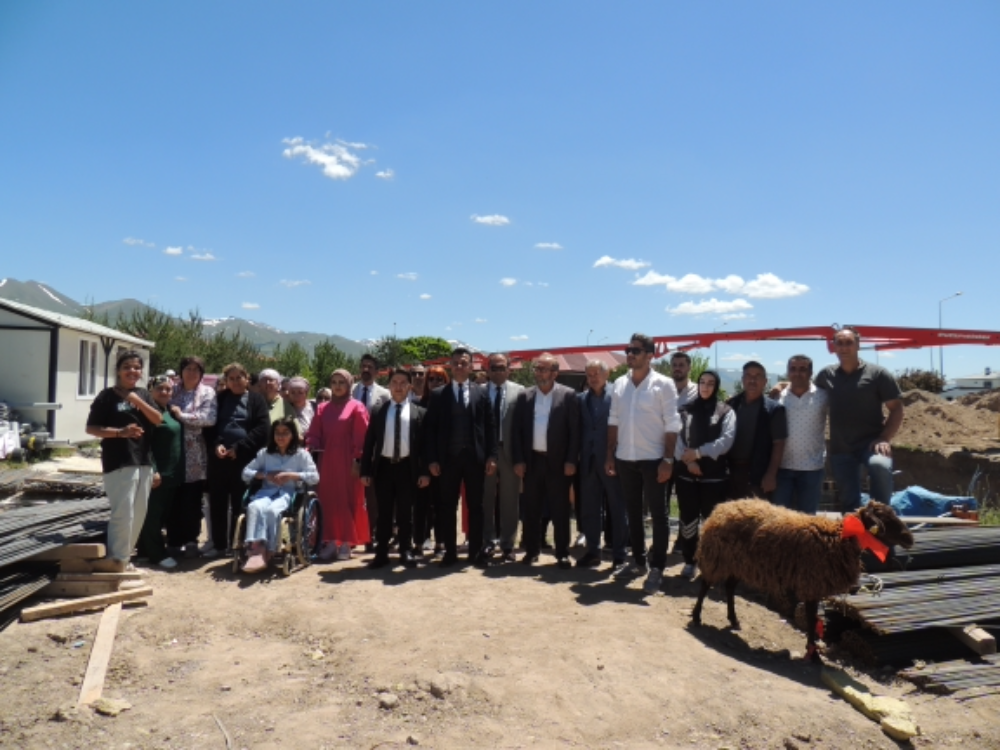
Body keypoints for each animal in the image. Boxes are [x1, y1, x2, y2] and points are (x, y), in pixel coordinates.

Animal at [696, 502, 916, 660]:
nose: (910, 538)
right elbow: (811, 620)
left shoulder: (814, 586)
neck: (840, 538)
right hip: (718, 557)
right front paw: (814, 654)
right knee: (706, 584)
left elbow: (813, 619)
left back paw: (733, 620)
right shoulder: (812, 584)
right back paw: (697, 616)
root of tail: (721, 508)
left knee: (729, 587)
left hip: (737, 563)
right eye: (884, 518)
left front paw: (812, 651)